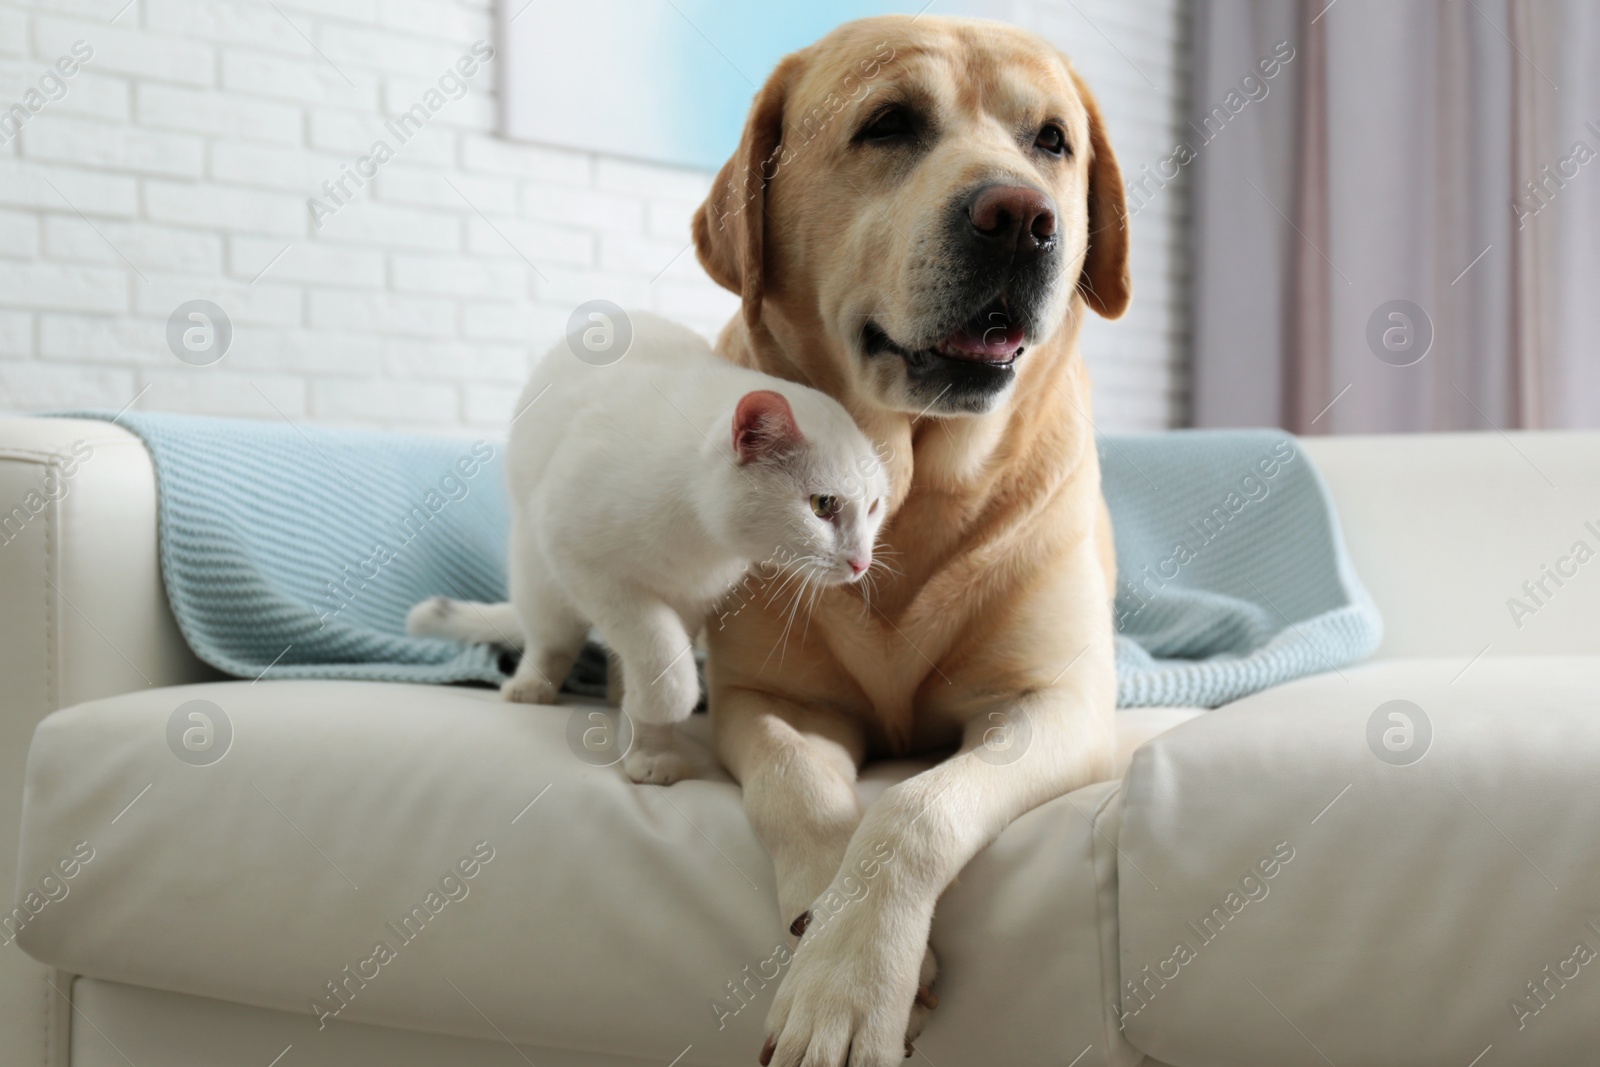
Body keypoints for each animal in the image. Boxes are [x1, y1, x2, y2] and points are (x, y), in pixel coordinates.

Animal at [406, 308, 896, 783]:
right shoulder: (584, 563)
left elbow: (660, 658)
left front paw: (649, 746)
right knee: (550, 639)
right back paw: (532, 686)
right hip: (537, 572)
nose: (861, 562)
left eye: (874, 507)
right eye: (823, 505)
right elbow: (662, 658)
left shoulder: (692, 599)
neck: (701, 540)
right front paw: (660, 714)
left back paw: (616, 692)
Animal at [694, 14, 1132, 1067]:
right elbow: (800, 784)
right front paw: (824, 913)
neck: (912, 478)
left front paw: (849, 984)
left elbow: (915, 805)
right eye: (889, 123)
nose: (1021, 218)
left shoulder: (1056, 701)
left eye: (1052, 140)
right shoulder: (766, 699)